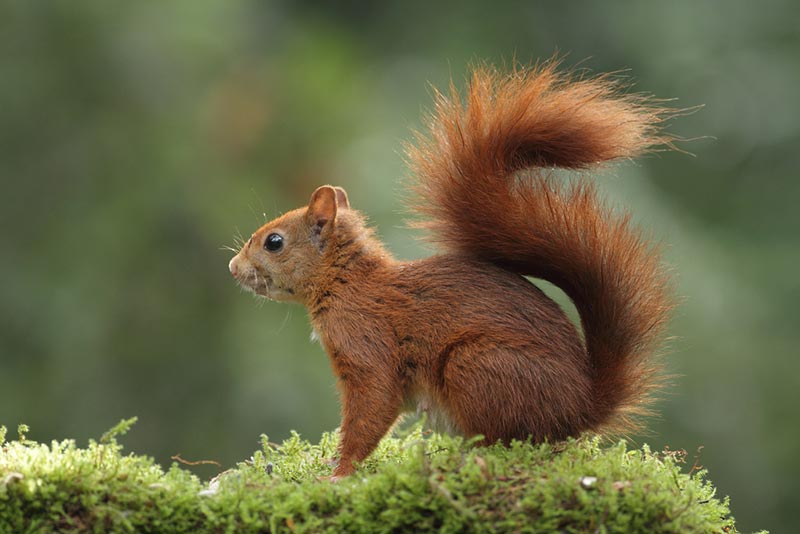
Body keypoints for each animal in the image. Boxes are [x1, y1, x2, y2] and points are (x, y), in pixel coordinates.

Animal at [230, 60, 676, 480]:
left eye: (274, 242)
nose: (233, 267)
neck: (347, 282)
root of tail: (581, 408)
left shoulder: (367, 343)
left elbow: (373, 407)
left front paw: (339, 472)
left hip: (476, 366)